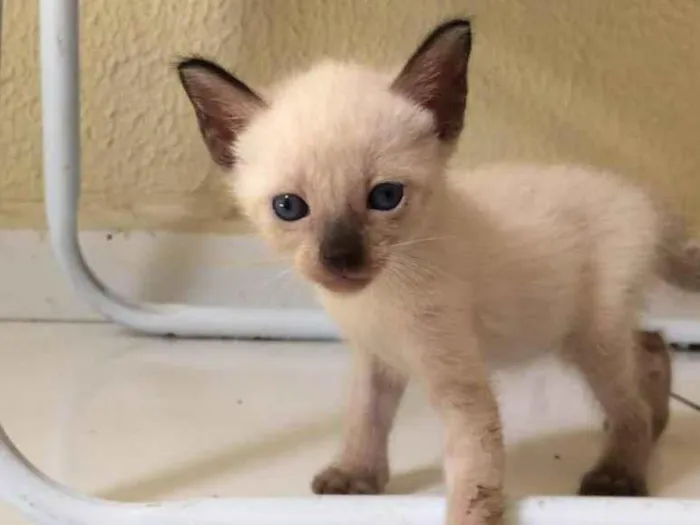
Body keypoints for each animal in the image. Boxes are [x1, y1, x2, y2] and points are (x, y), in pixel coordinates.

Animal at [176, 19, 700, 524]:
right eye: (289, 207)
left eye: (386, 197)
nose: (341, 258)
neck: (377, 300)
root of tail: (646, 200)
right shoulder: (375, 357)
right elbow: (365, 417)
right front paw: (355, 475)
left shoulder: (458, 384)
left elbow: (473, 476)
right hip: (592, 332)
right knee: (651, 345)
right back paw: (653, 426)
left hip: (591, 336)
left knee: (631, 392)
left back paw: (619, 472)